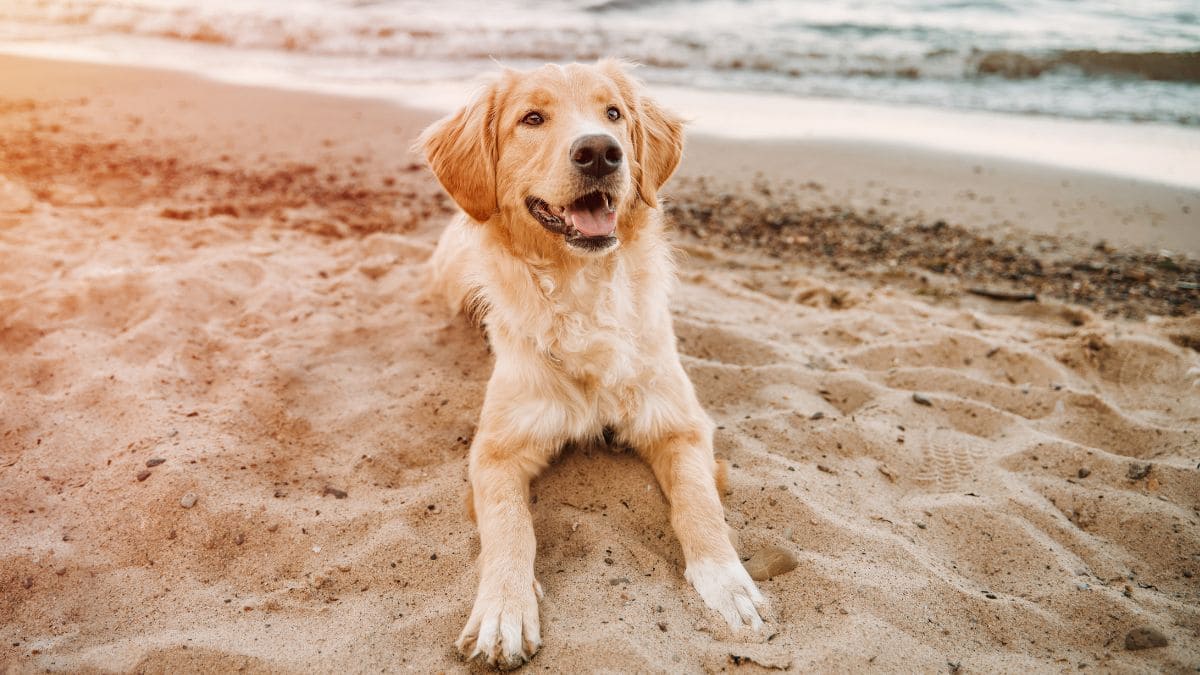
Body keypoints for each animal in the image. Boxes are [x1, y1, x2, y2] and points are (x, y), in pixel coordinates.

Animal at [417, 59, 763, 667]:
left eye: (614, 113)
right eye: (532, 118)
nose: (600, 151)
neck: (583, 291)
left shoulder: (680, 425)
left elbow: (700, 504)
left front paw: (728, 582)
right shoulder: (496, 451)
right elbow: (509, 526)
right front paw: (504, 610)